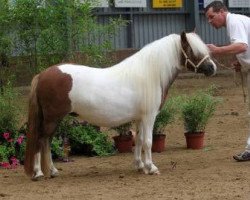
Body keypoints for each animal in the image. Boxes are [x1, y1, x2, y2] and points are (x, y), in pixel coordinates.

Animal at [24, 31, 217, 180]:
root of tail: (42, 74)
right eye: (193, 50)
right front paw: (151, 167)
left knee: (46, 141)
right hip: (52, 119)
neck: (150, 74)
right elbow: (148, 141)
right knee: (42, 140)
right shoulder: (149, 117)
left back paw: (52, 171)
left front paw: (140, 166)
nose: (212, 68)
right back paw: (39, 172)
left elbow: (138, 140)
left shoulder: (140, 118)